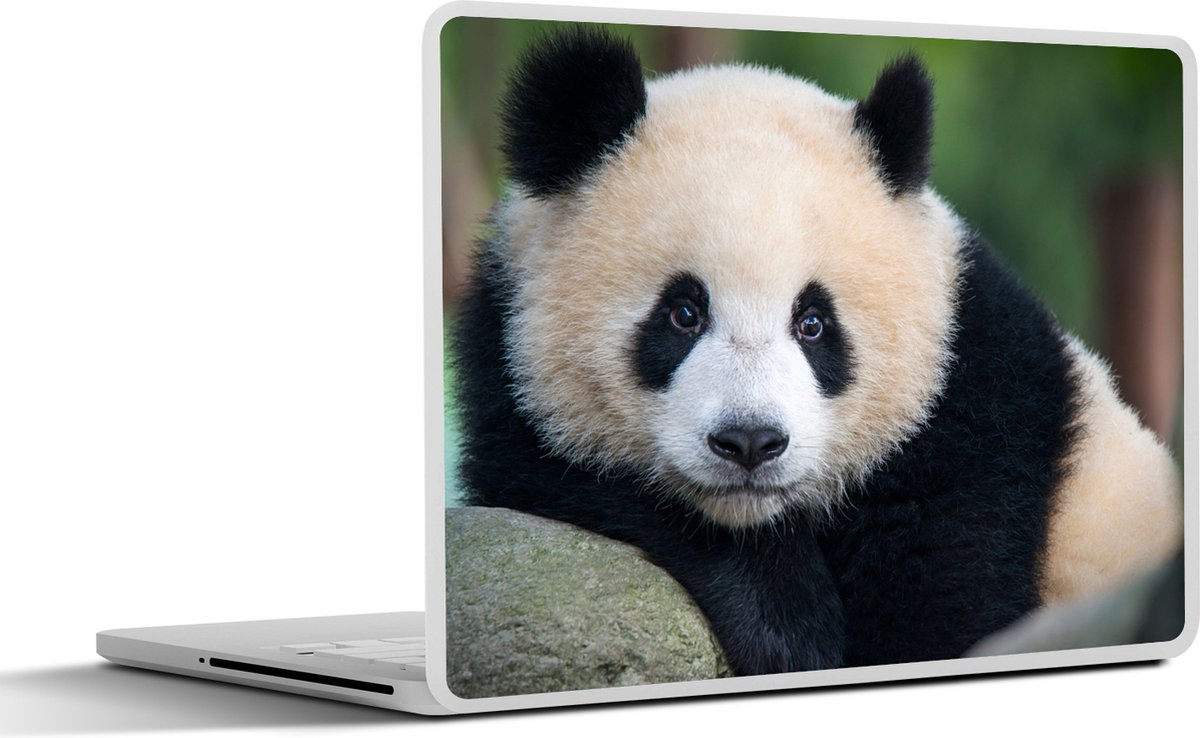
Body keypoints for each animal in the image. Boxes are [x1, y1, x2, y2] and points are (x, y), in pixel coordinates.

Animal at [451, 27, 1183, 676]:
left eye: (813, 324)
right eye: (683, 313)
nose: (750, 443)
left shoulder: (978, 413)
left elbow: (944, 605)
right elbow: (567, 472)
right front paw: (785, 623)